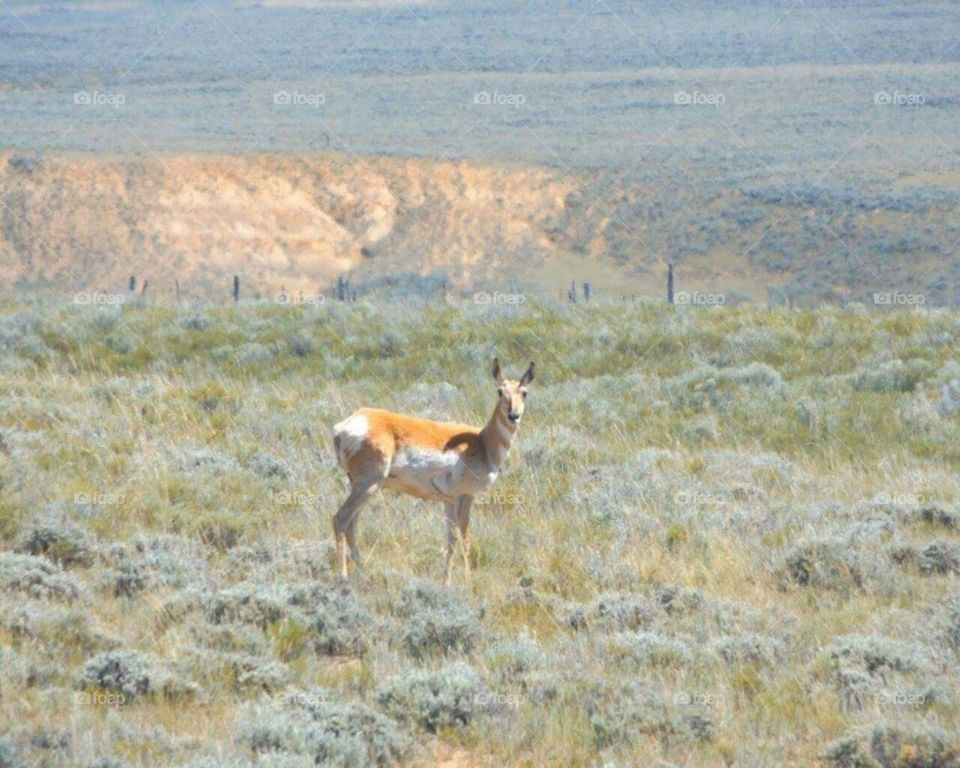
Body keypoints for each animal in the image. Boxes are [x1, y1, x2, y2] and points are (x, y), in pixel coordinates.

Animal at [332, 358, 535, 584]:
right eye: (500, 391)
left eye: (524, 392)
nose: (513, 415)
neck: (483, 443)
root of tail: (344, 426)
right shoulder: (465, 496)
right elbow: (465, 539)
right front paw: (468, 582)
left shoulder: (449, 501)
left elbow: (451, 540)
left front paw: (446, 582)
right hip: (368, 485)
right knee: (341, 519)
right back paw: (344, 576)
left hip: (363, 487)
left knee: (352, 524)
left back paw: (363, 570)